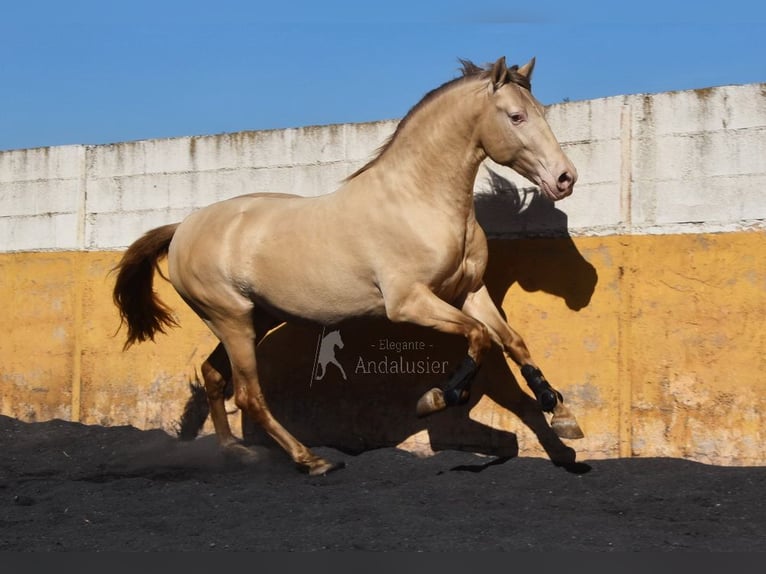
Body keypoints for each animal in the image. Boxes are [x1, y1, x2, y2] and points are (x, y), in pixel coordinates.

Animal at [112, 56, 584, 476]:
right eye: (516, 116)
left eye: (542, 112)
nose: (565, 178)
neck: (419, 201)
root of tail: (182, 228)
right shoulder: (409, 303)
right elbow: (480, 338)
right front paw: (435, 399)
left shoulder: (469, 292)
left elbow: (513, 341)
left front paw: (561, 416)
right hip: (230, 319)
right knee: (248, 395)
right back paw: (311, 461)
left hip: (254, 318)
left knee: (213, 375)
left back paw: (237, 453)